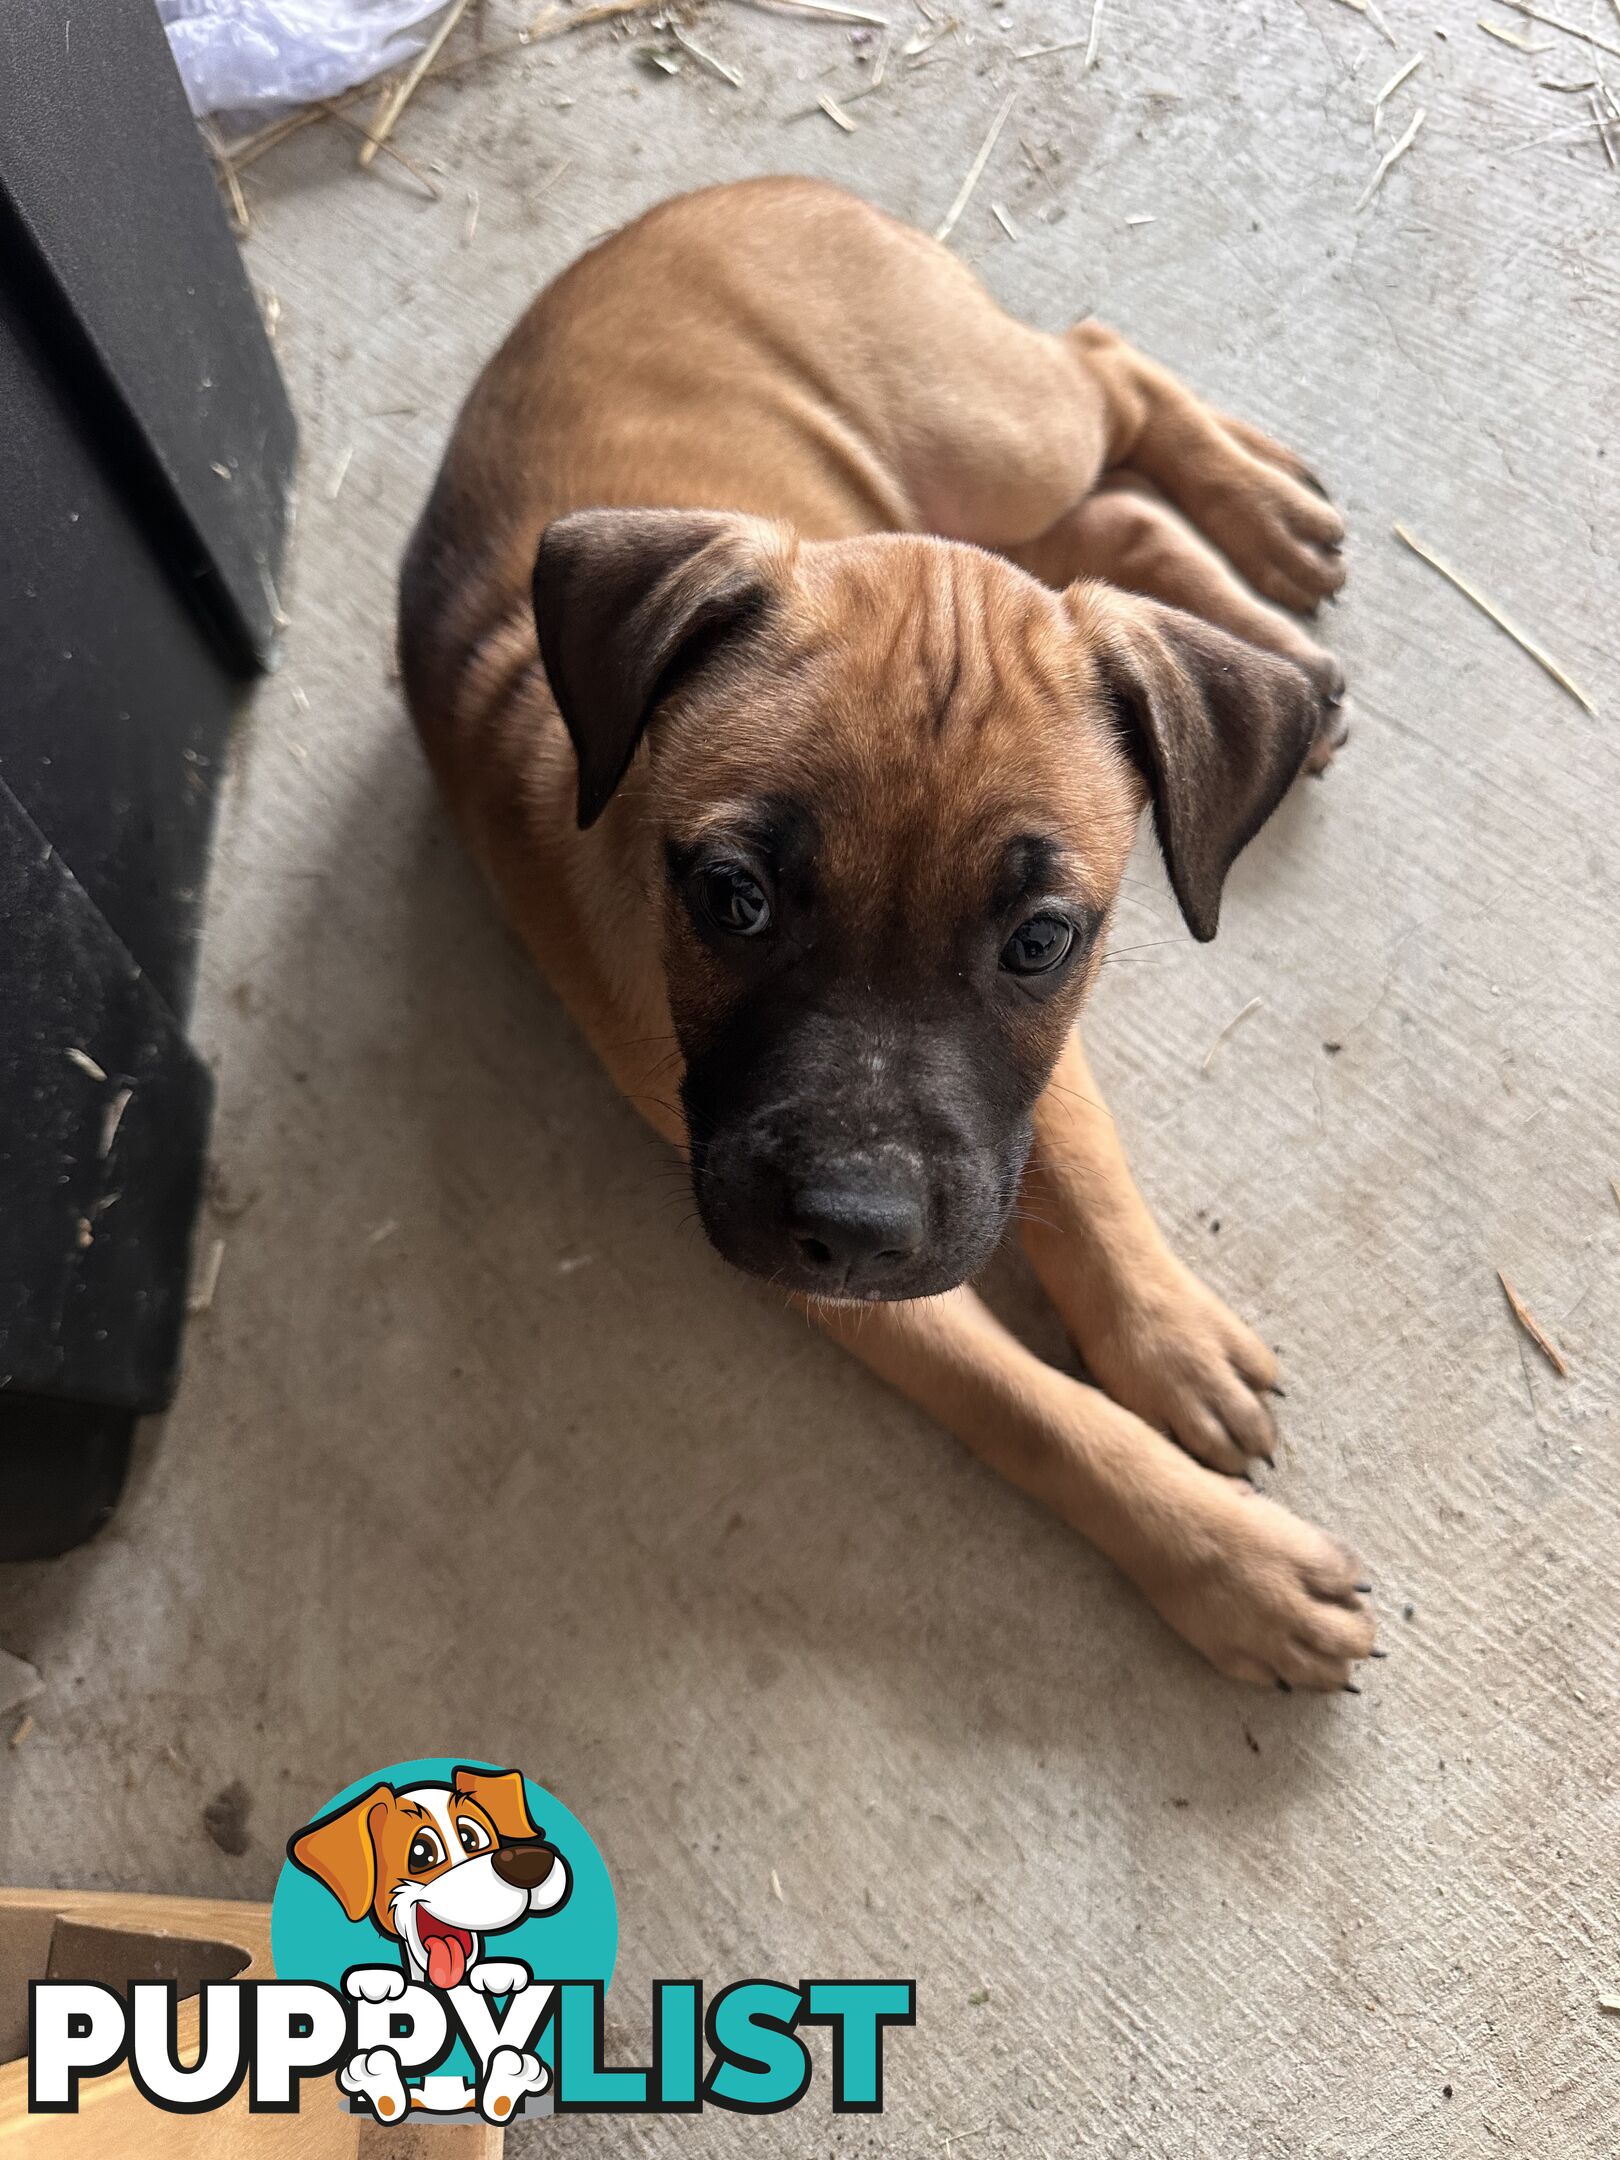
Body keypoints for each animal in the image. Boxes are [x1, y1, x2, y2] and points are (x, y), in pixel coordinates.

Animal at [399, 177, 1373, 1684]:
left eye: (1039, 941)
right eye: (730, 897)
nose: (855, 1231)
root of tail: (720, 196)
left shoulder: (1027, 1074)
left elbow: (1083, 1178)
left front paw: (1165, 1339)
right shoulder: (843, 1272)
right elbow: (1033, 1413)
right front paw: (1229, 1563)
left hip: (990, 430)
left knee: (1099, 385)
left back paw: (1262, 533)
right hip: (991, 463)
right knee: (1103, 523)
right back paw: (1270, 590)